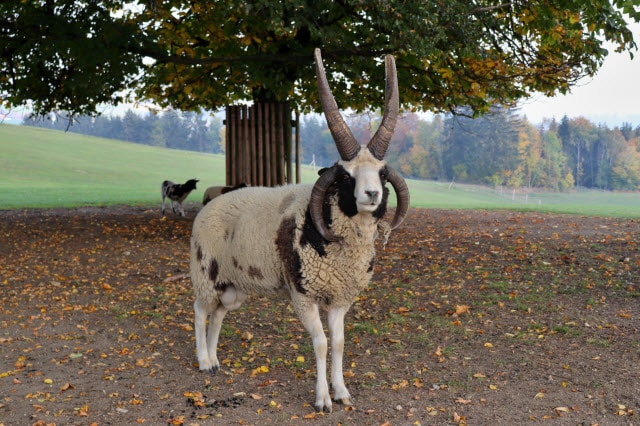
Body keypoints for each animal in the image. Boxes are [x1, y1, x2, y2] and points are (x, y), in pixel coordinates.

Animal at [190, 49, 410, 412]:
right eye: (346, 176)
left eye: (381, 173)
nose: (372, 194)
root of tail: (209, 204)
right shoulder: (302, 294)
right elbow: (320, 343)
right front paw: (322, 400)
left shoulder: (340, 298)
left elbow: (339, 342)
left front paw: (342, 392)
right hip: (205, 271)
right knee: (199, 311)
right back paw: (204, 361)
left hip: (234, 285)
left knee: (218, 314)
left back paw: (215, 358)